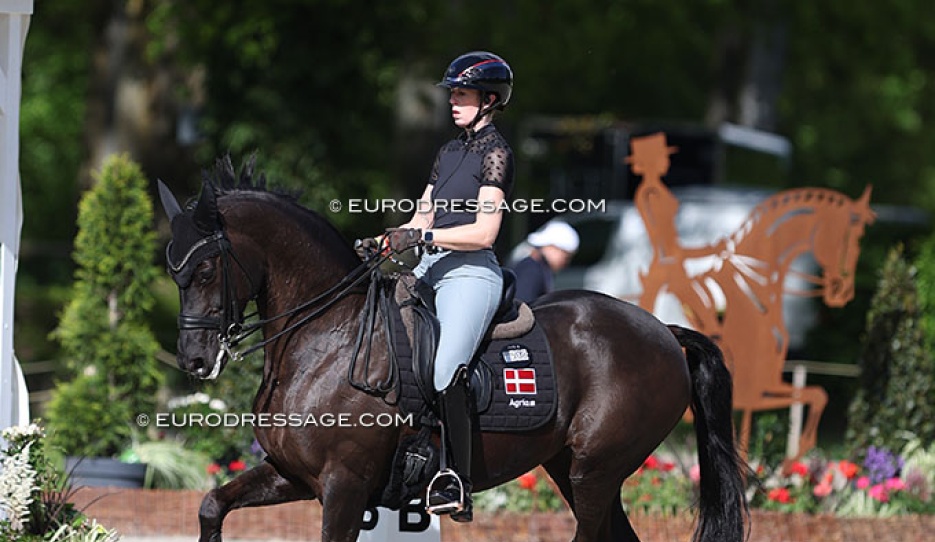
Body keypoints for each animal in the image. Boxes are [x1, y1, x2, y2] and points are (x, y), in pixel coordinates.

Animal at [157, 159, 748, 542]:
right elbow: (211, 505)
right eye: (174, 272)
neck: (326, 339)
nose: (195, 361)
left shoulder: (344, 487)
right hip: (569, 467)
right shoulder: (292, 475)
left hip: (596, 471)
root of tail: (662, 330)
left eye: (205, 270)